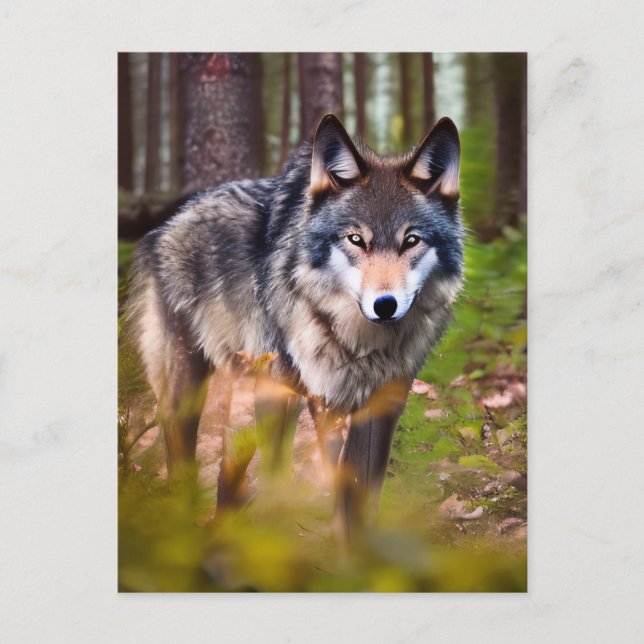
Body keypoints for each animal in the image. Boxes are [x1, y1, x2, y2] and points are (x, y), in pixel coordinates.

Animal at [126, 114, 464, 537]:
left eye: (412, 240)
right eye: (356, 239)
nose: (384, 305)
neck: (360, 344)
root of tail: (167, 221)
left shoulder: (380, 404)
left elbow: (360, 497)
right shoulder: (304, 397)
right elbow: (314, 486)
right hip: (200, 389)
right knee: (195, 462)